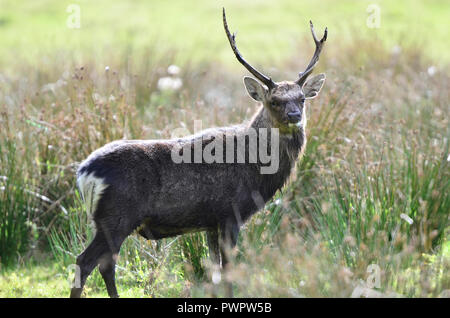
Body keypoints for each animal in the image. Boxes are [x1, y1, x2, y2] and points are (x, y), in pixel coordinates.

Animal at [68, 8, 326, 298]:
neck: (255, 169)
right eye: (274, 101)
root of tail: (83, 172)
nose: (294, 116)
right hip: (115, 217)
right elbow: (228, 270)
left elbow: (215, 272)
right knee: (87, 261)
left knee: (104, 264)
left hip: (105, 221)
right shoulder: (230, 212)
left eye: (302, 99)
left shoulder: (210, 222)